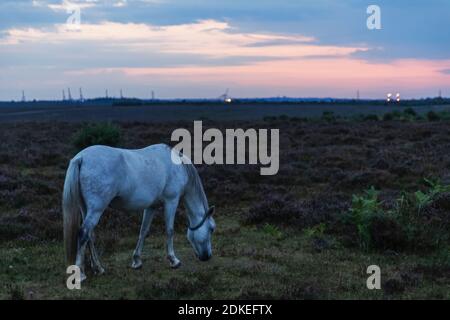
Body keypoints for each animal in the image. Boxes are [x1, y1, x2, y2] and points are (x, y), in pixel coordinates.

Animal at [62, 142, 215, 280]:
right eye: (211, 229)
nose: (207, 256)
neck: (176, 165)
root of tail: (81, 157)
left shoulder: (151, 207)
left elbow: (143, 231)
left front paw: (136, 261)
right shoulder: (171, 201)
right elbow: (170, 230)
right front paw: (173, 260)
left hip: (86, 209)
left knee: (90, 236)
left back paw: (98, 268)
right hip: (96, 209)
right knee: (83, 234)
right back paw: (81, 274)